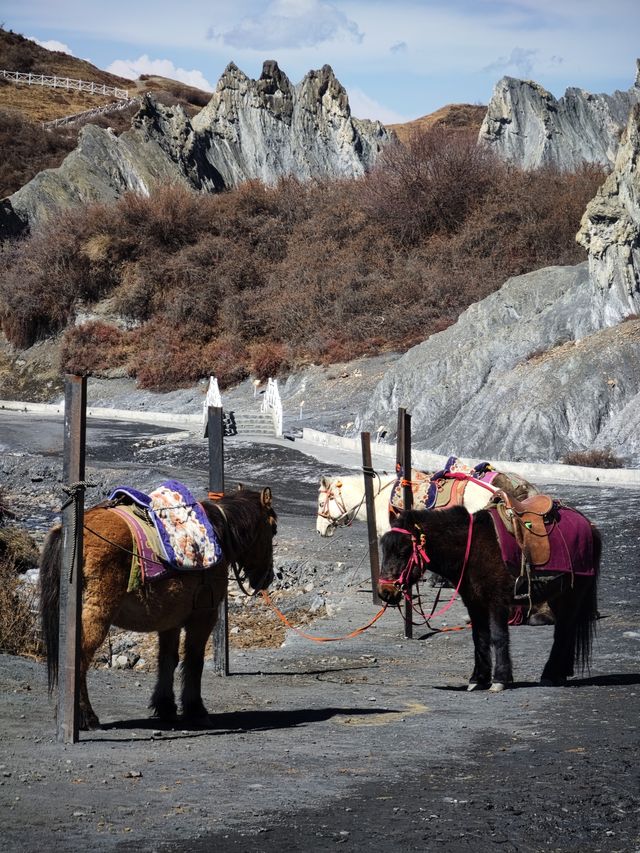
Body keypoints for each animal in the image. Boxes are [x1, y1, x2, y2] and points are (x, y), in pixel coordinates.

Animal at [40, 486, 276, 724]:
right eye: (273, 529)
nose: (267, 578)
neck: (218, 534)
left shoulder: (170, 622)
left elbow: (168, 660)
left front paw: (166, 706)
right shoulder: (203, 618)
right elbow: (194, 661)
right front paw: (196, 709)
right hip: (97, 613)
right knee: (78, 657)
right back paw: (85, 716)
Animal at [378, 502, 604, 688]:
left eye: (403, 552)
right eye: (384, 550)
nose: (385, 592)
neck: (471, 549)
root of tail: (590, 526)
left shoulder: (497, 602)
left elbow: (498, 636)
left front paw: (500, 679)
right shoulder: (474, 603)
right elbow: (479, 637)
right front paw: (478, 678)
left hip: (573, 595)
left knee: (563, 631)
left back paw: (550, 674)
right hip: (558, 597)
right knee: (567, 630)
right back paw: (560, 672)